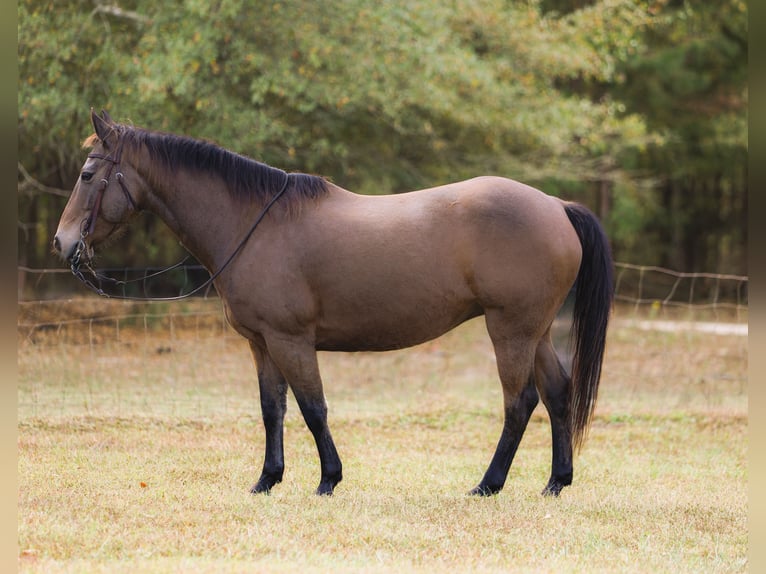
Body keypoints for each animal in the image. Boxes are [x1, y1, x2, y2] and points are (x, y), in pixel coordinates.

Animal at [54, 109, 613, 497]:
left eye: (86, 175)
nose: (62, 243)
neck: (254, 224)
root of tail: (556, 206)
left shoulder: (291, 340)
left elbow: (312, 408)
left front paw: (328, 479)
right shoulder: (262, 344)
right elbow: (272, 410)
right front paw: (267, 480)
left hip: (510, 331)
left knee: (520, 403)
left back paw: (488, 484)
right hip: (535, 331)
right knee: (558, 393)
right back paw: (556, 482)